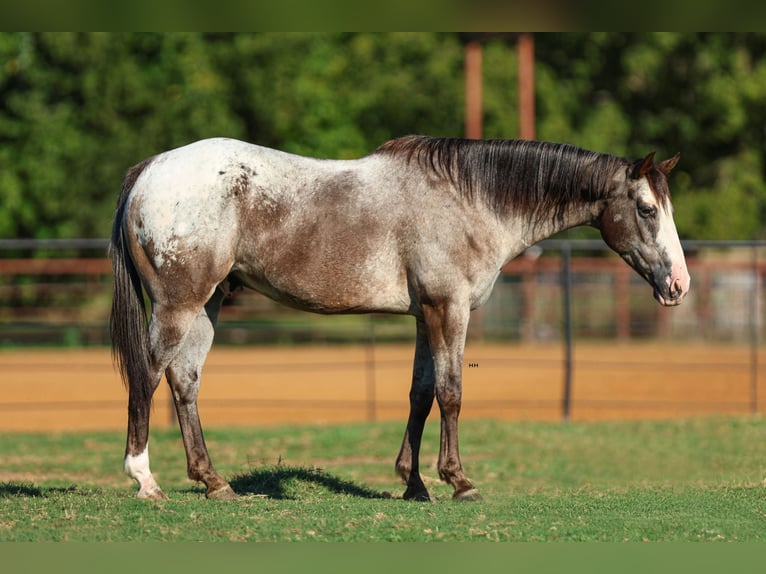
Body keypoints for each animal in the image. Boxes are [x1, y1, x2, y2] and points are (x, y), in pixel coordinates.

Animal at [108, 136, 688, 504]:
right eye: (646, 209)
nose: (678, 285)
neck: (469, 198)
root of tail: (149, 169)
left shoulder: (423, 314)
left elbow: (420, 394)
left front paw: (414, 483)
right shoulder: (448, 309)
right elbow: (451, 394)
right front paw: (459, 482)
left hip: (207, 305)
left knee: (185, 382)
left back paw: (214, 482)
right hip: (179, 305)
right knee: (148, 374)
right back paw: (145, 480)